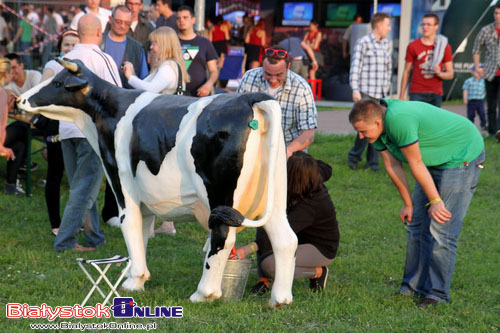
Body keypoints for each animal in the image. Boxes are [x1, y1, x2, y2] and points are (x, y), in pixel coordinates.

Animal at [19, 57, 298, 306]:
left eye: (58, 83)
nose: (20, 100)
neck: (107, 111)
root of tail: (248, 98)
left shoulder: (122, 185)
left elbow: (129, 225)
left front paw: (135, 281)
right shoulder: (144, 195)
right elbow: (142, 232)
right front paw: (137, 278)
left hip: (221, 196)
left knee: (222, 237)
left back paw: (203, 294)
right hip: (275, 196)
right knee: (285, 238)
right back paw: (280, 299)